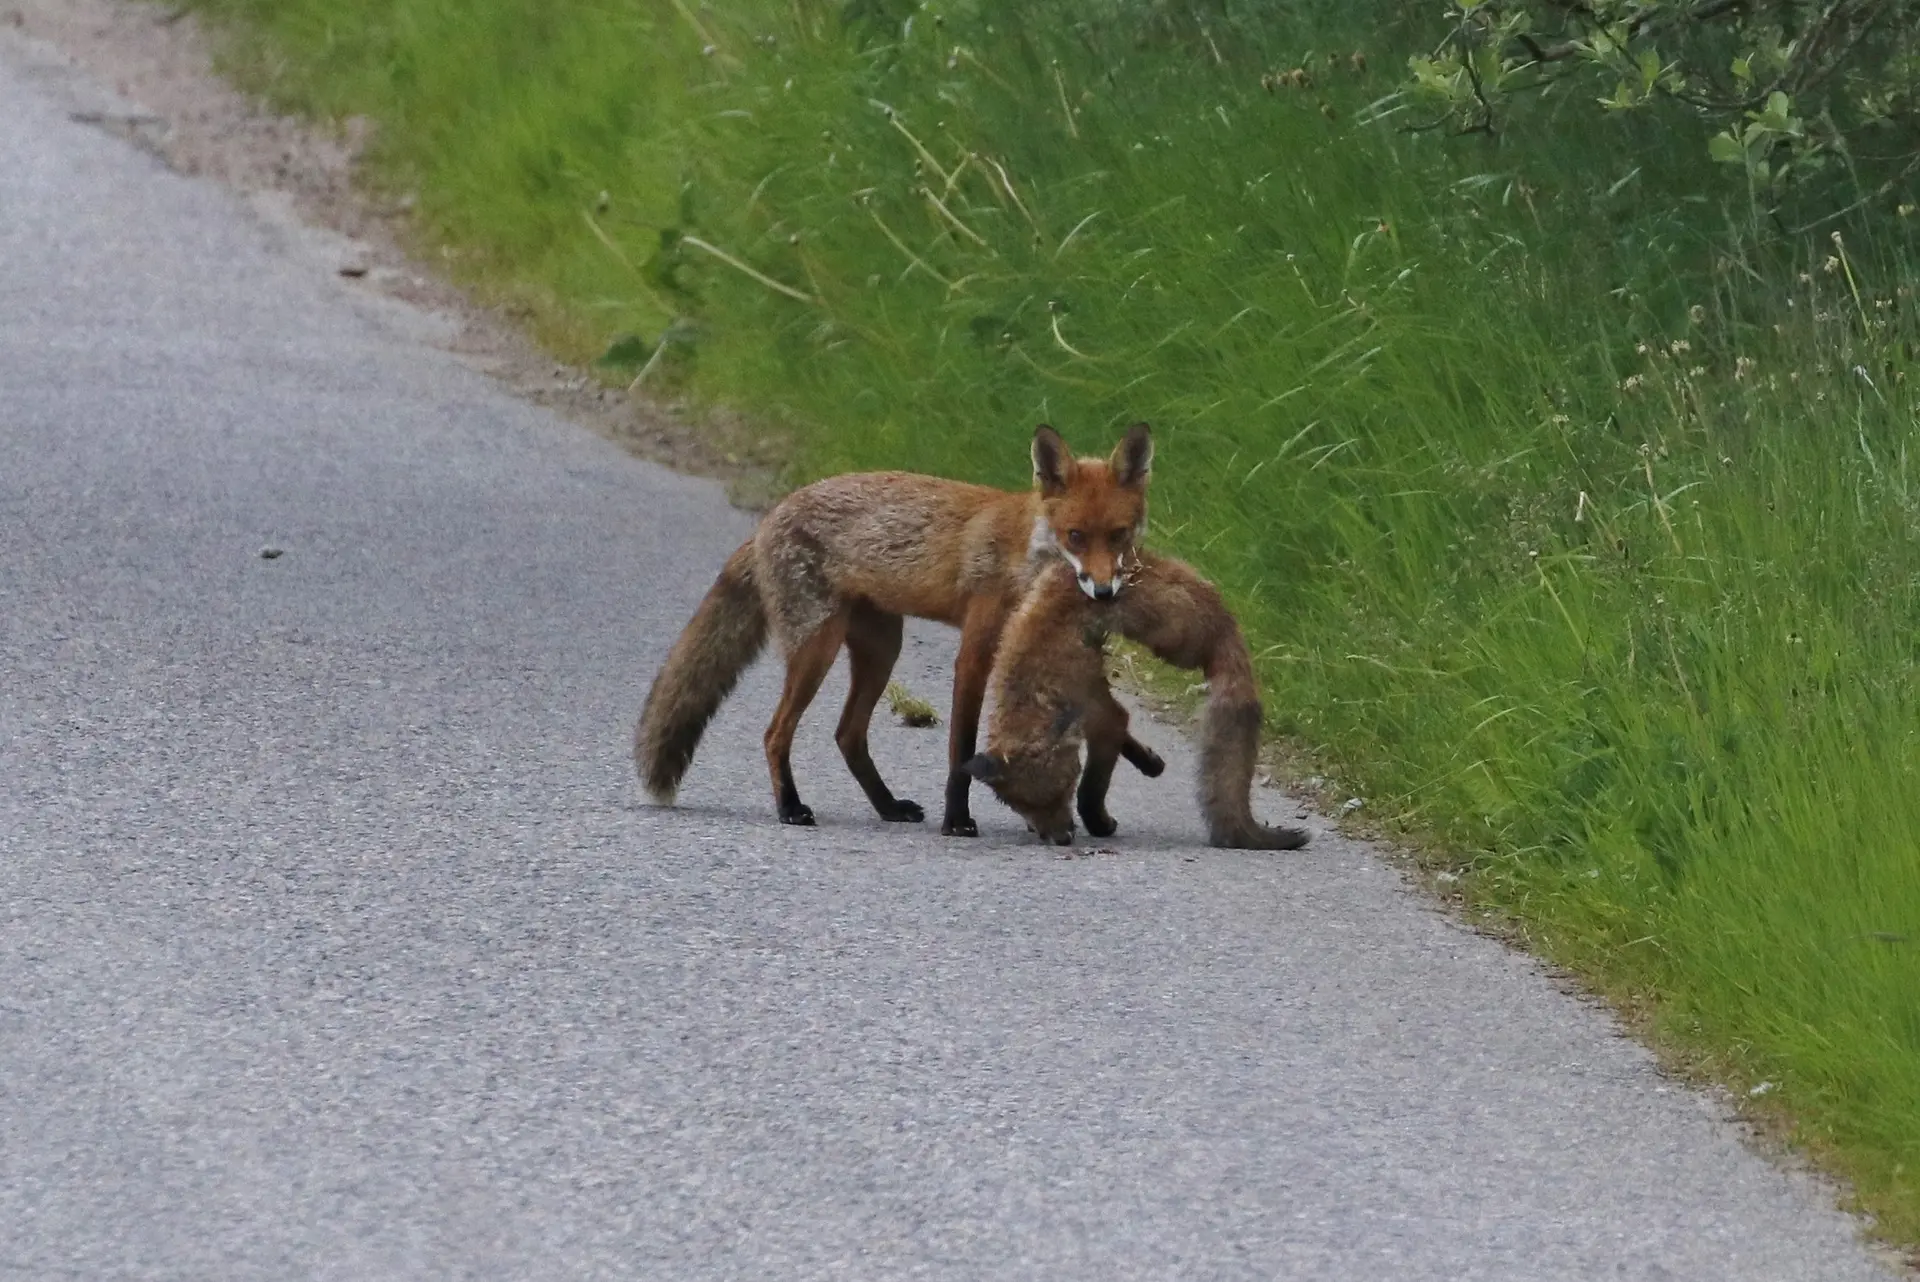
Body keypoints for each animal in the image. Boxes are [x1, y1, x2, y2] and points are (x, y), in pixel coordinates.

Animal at [635, 422, 1166, 834]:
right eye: (1075, 536)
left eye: (1118, 536)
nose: (1104, 592)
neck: (1028, 554)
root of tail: (769, 517)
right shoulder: (975, 652)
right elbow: (960, 749)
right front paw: (957, 822)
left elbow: (1106, 715)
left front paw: (1142, 758)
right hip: (817, 648)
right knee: (776, 732)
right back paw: (790, 808)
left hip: (882, 648)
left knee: (847, 735)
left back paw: (887, 806)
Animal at [962, 550, 1310, 850]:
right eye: (1022, 805)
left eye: (1062, 791)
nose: (1062, 838)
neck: (1035, 689)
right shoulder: (1094, 703)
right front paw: (1148, 761)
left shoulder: (1101, 717)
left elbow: (1091, 789)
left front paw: (1098, 822)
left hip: (1174, 641)